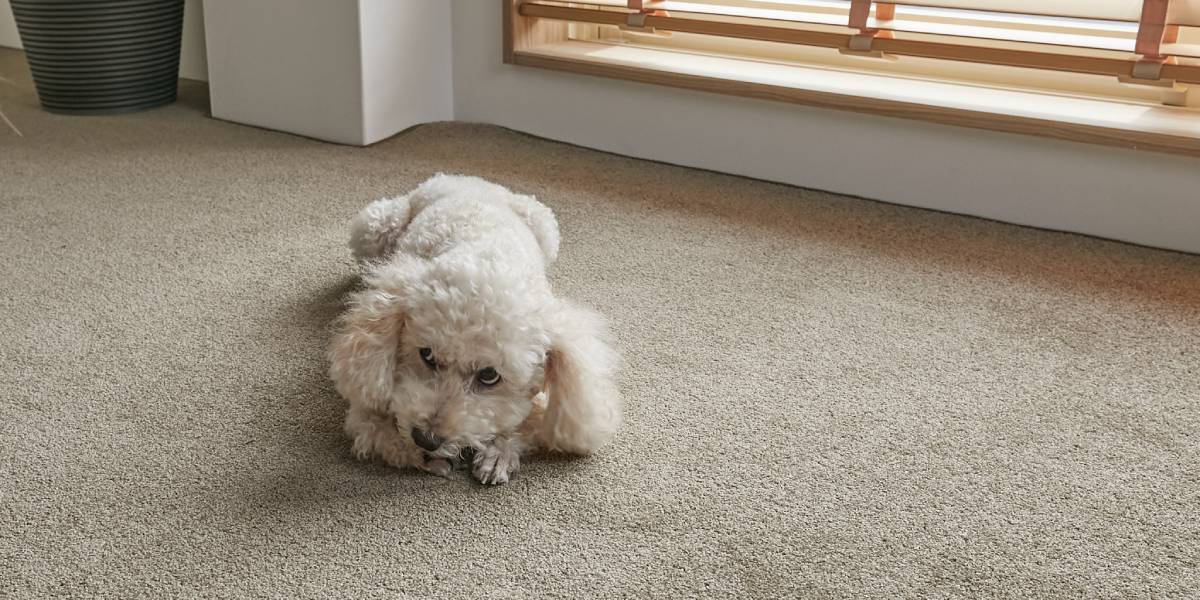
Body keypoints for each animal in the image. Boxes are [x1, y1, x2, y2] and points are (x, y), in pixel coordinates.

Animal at [328, 174, 624, 482]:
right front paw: (426, 457)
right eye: (426, 355)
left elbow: (530, 418)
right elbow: (381, 432)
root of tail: (466, 178)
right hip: (373, 227)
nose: (426, 438)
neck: (486, 254)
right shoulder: (364, 407)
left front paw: (499, 453)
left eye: (489, 376)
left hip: (546, 229)